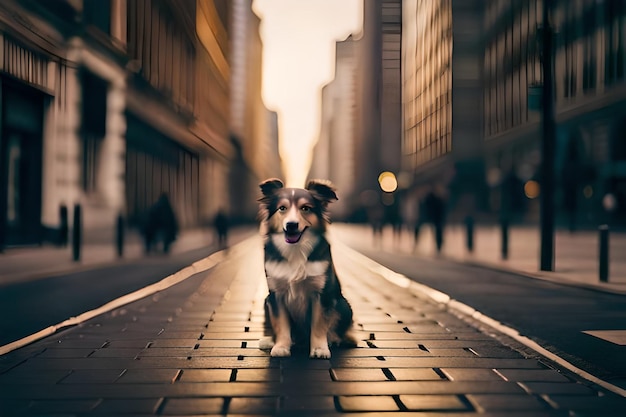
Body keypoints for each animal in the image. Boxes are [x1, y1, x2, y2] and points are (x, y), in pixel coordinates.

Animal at [256, 176, 354, 358]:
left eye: (305, 208)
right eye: (282, 208)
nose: (291, 225)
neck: (296, 249)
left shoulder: (322, 294)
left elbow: (319, 325)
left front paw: (319, 349)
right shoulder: (276, 295)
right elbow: (281, 324)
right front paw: (281, 347)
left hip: (343, 304)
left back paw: (334, 339)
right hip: (266, 301)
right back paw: (270, 341)